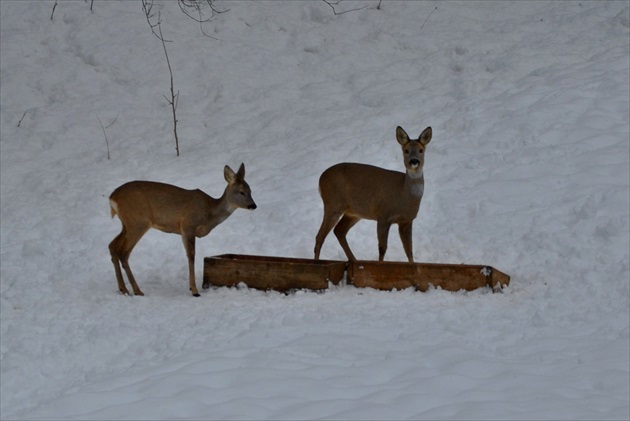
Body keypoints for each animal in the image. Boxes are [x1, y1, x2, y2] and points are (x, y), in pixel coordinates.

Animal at [110, 162, 258, 296]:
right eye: (241, 192)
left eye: (250, 190)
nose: (253, 205)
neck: (209, 213)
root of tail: (112, 198)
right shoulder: (188, 225)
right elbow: (191, 255)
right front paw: (194, 290)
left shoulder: (183, 230)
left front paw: (192, 287)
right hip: (138, 222)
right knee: (124, 252)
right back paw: (137, 290)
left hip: (127, 224)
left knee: (113, 246)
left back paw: (123, 289)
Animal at [314, 125, 432, 262]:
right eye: (406, 150)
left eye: (421, 150)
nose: (414, 161)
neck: (404, 195)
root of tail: (320, 179)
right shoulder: (383, 215)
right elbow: (382, 248)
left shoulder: (407, 220)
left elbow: (409, 250)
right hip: (333, 203)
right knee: (320, 236)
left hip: (353, 212)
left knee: (339, 230)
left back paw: (354, 260)